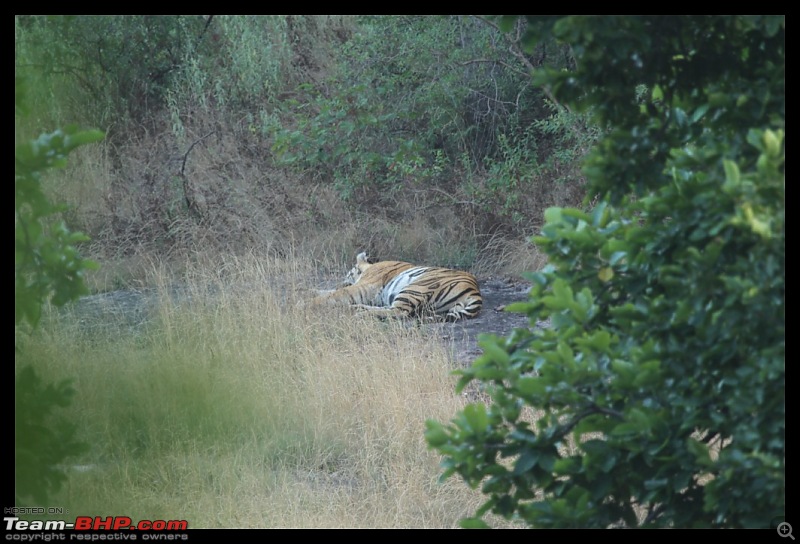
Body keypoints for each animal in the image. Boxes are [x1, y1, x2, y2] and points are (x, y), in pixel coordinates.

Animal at [310, 252, 482, 320]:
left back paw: (360, 312)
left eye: (347, 274)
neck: (368, 267)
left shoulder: (363, 286)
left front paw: (308, 302)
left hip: (415, 287)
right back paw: (358, 308)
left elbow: (336, 293)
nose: (342, 280)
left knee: (399, 312)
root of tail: (475, 291)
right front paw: (311, 291)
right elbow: (329, 291)